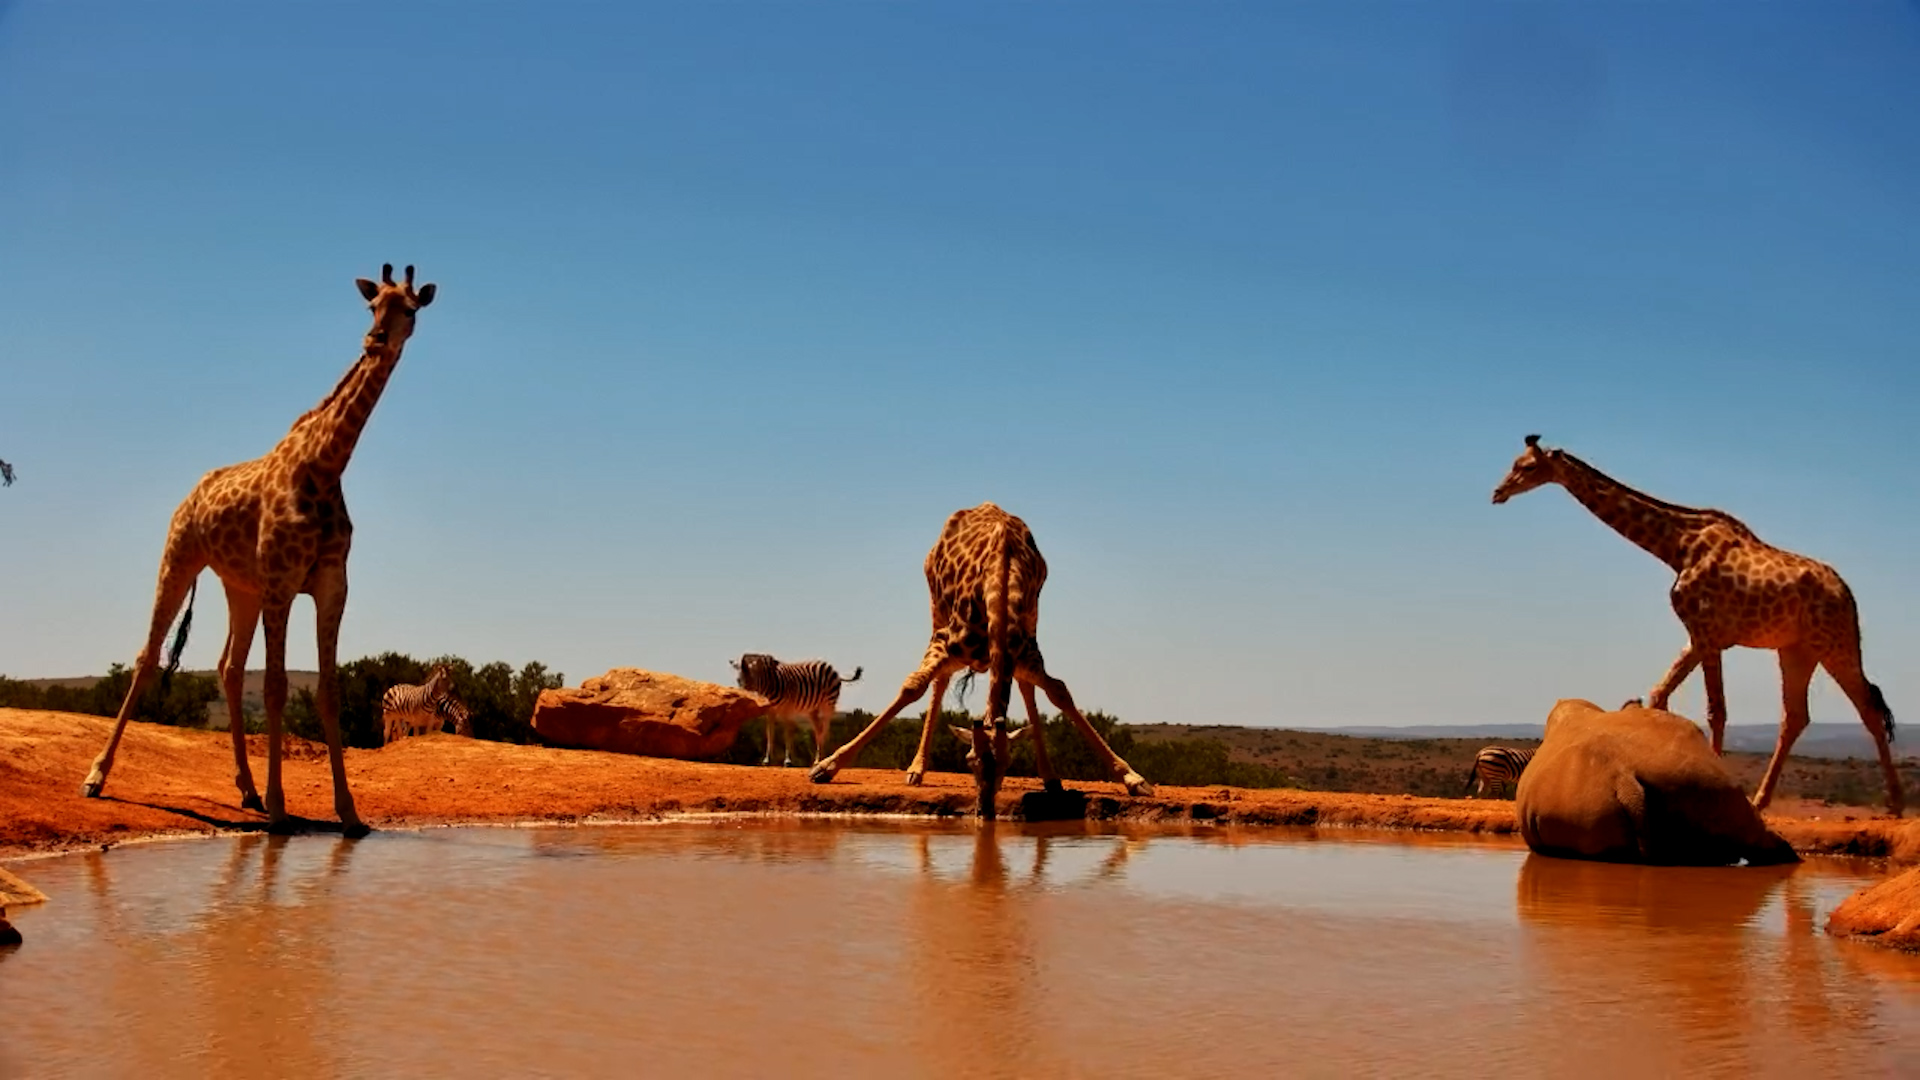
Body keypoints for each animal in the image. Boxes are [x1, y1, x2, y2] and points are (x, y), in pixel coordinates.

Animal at [81, 264, 438, 837]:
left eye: (408, 308)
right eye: (371, 306)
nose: (376, 340)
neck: (326, 466)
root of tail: (192, 492)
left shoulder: (330, 584)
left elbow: (327, 690)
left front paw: (348, 812)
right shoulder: (282, 582)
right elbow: (273, 685)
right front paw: (279, 808)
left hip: (239, 587)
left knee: (228, 667)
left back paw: (245, 789)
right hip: (179, 557)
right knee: (147, 655)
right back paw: (96, 777)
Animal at [808, 502, 1152, 818]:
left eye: (1008, 763)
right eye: (969, 761)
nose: (984, 810)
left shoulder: (1026, 653)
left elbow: (1059, 691)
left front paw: (1134, 779)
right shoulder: (945, 642)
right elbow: (912, 687)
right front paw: (826, 767)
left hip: (1030, 624)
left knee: (1025, 686)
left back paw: (1051, 778)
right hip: (936, 609)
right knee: (939, 682)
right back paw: (916, 770)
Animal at [1492, 434, 1902, 816]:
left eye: (1528, 466)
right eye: (1514, 462)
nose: (1498, 492)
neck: (1676, 546)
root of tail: (1847, 594)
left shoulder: (1708, 633)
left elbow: (1715, 710)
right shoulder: (1696, 636)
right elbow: (1660, 694)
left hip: (1834, 641)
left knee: (1867, 708)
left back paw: (1895, 805)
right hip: (1796, 649)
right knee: (1796, 716)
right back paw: (1761, 800)